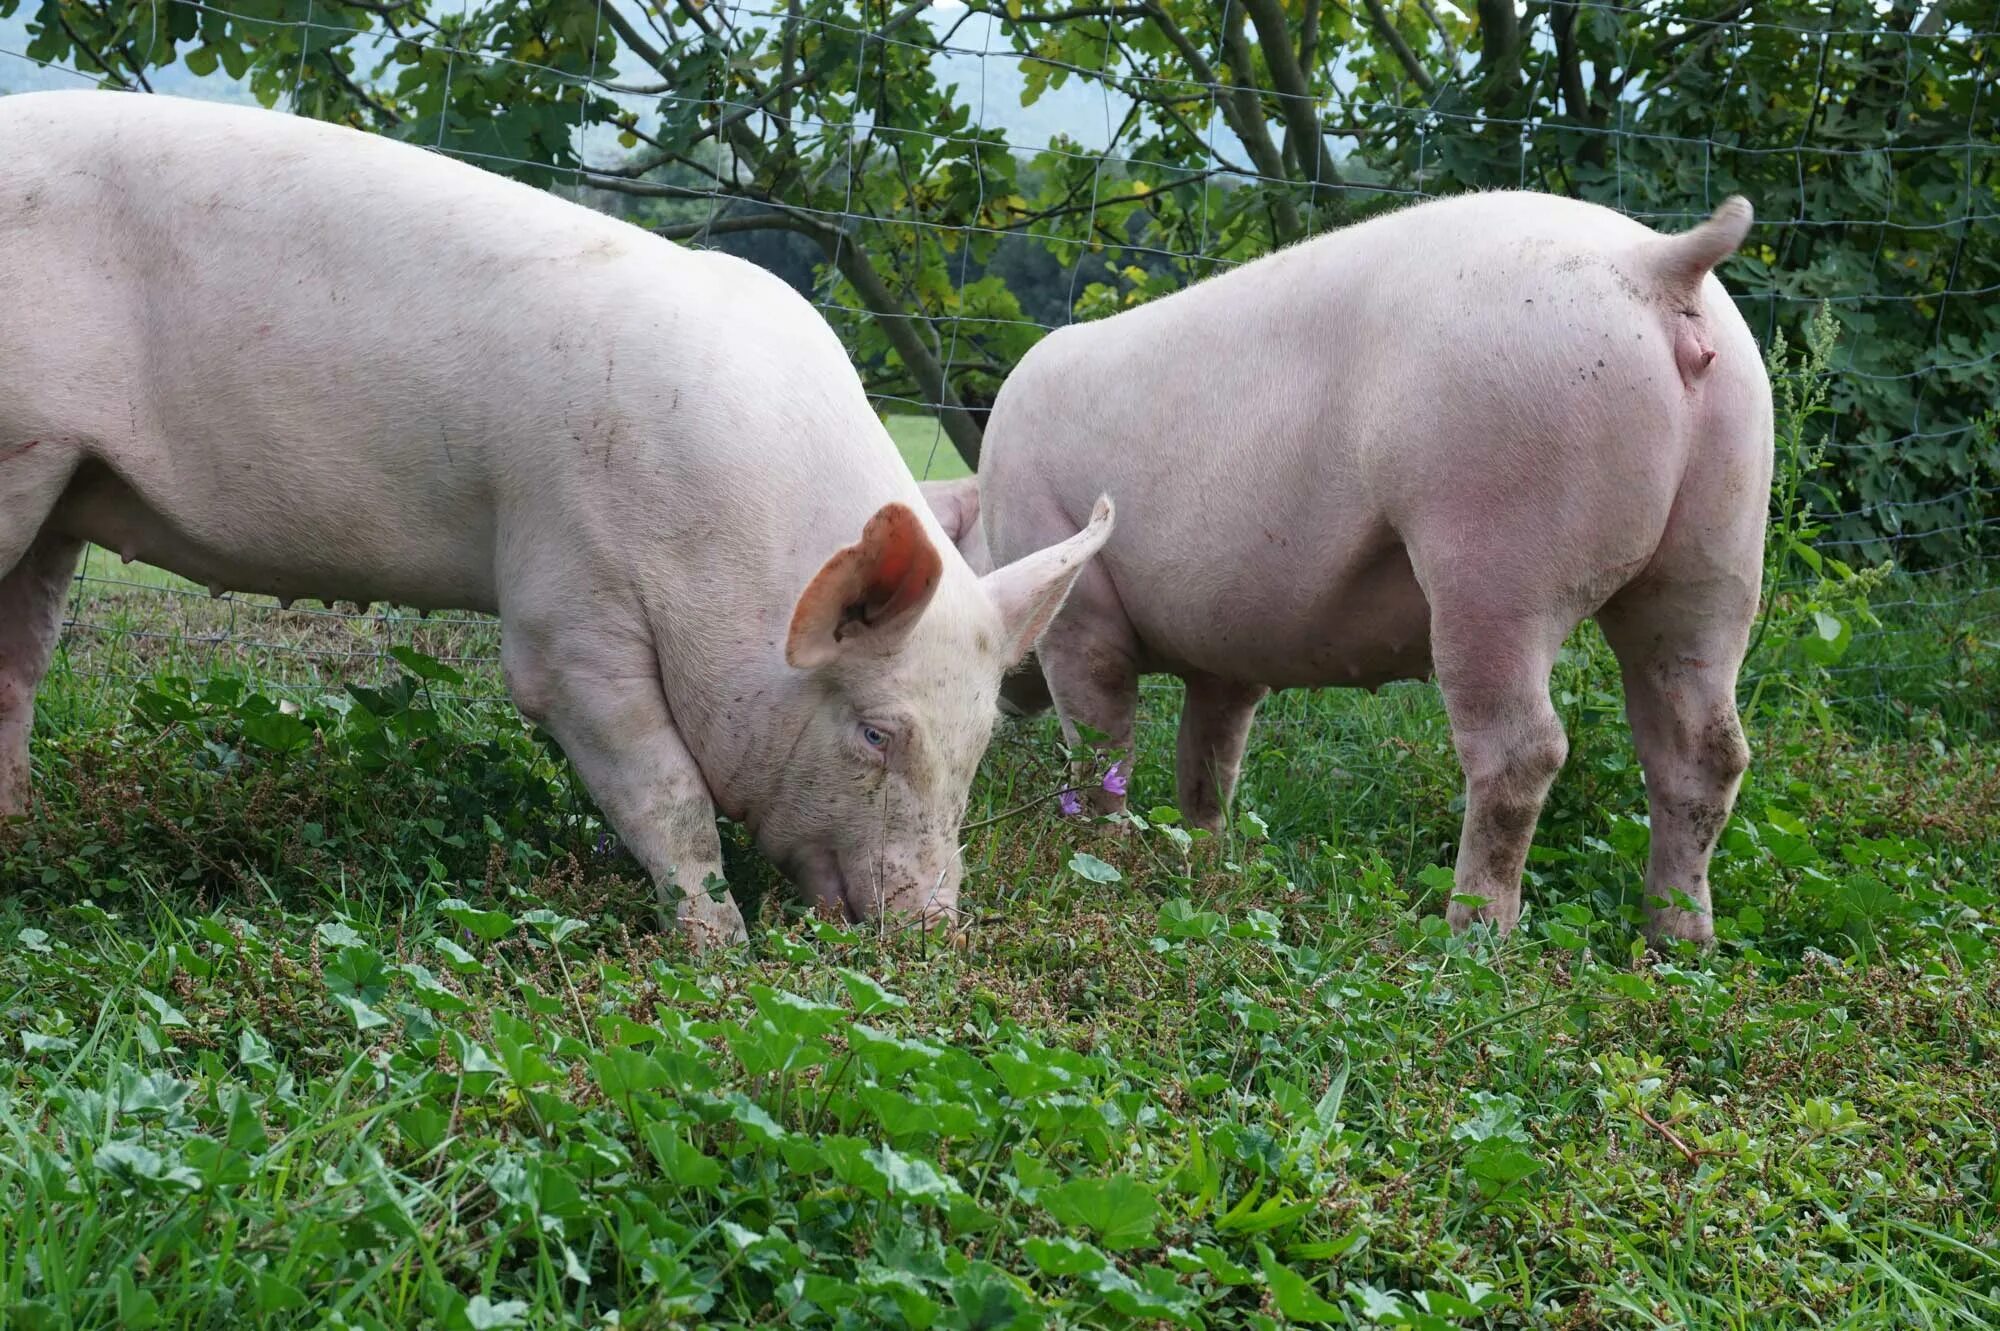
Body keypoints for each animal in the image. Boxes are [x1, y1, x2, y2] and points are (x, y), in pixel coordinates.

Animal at [0, 90, 1112, 943]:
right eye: (877, 731)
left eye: (978, 740)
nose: (931, 927)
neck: (733, 541)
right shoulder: (569, 597)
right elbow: (665, 790)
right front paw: (722, 951)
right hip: (21, 445)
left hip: (64, 479)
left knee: (20, 659)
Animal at [928, 191, 1776, 947]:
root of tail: (1660, 262)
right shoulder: (1228, 660)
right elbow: (1209, 761)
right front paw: (1207, 858)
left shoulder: (1080, 615)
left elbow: (1103, 742)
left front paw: (1096, 854)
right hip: (1719, 548)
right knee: (1704, 748)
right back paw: (1677, 944)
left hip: (1494, 550)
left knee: (1523, 747)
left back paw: (1469, 935)